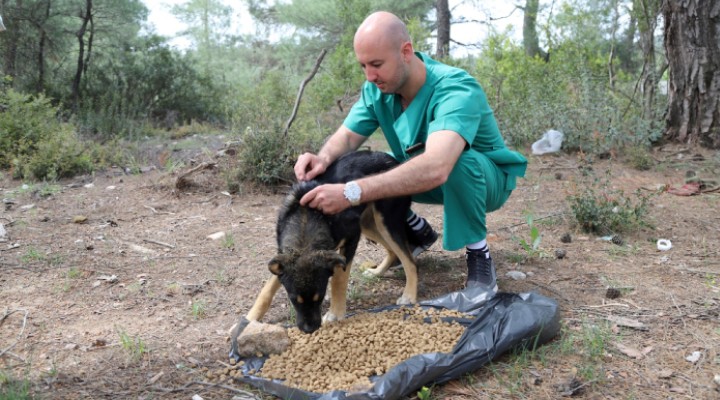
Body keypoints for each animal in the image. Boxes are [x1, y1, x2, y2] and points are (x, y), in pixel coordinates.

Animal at [231, 150, 420, 360]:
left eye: (320, 297)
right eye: (293, 300)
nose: (309, 330)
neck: (307, 220)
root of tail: (392, 160)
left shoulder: (351, 237)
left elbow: (339, 278)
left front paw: (335, 313)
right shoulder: (283, 259)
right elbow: (266, 291)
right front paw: (247, 320)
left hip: (385, 220)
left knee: (409, 260)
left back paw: (409, 295)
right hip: (369, 223)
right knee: (393, 252)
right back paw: (376, 272)